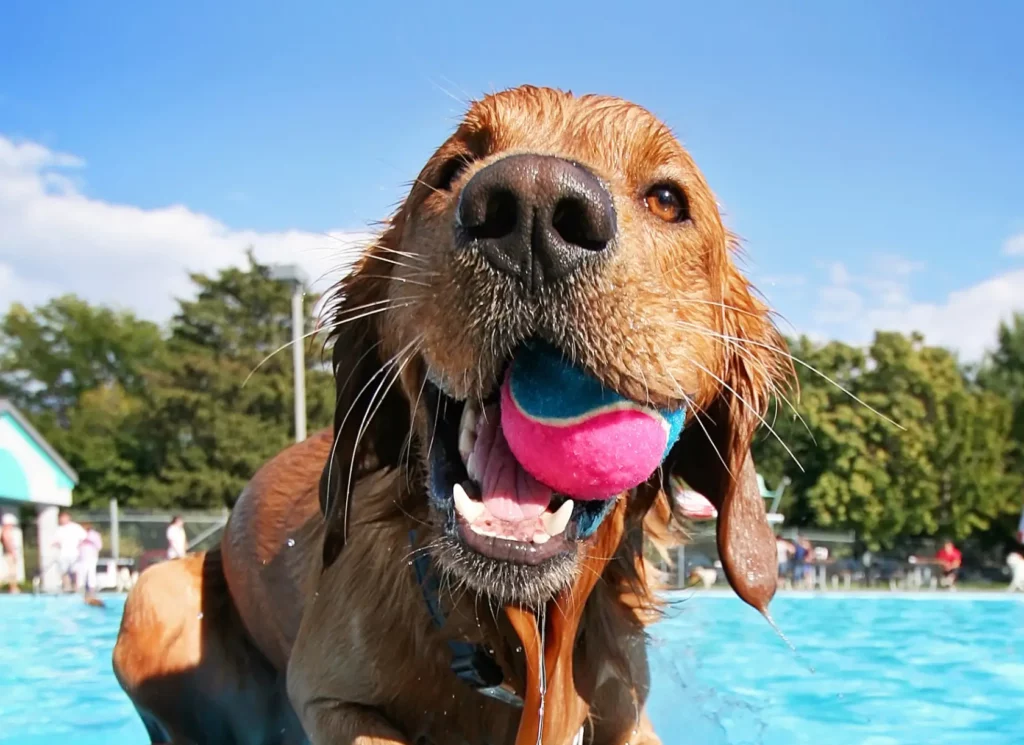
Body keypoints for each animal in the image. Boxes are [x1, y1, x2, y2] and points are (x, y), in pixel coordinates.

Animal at [116, 87, 794, 745]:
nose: (534, 207)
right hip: (153, 595)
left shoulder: (622, 707)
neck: (510, 635)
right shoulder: (326, 694)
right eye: (452, 169)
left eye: (667, 199)